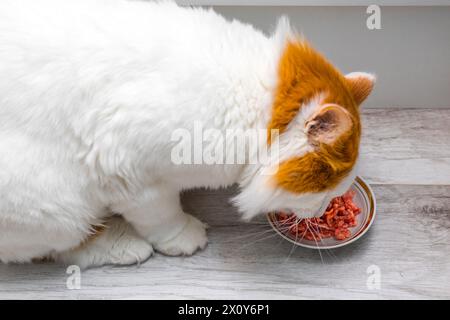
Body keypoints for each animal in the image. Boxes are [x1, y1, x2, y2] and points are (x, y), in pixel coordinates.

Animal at [0, 0, 372, 268]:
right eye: (324, 191)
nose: (319, 211)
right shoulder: (130, 172)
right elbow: (161, 216)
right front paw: (183, 237)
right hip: (57, 206)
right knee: (56, 249)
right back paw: (126, 246)